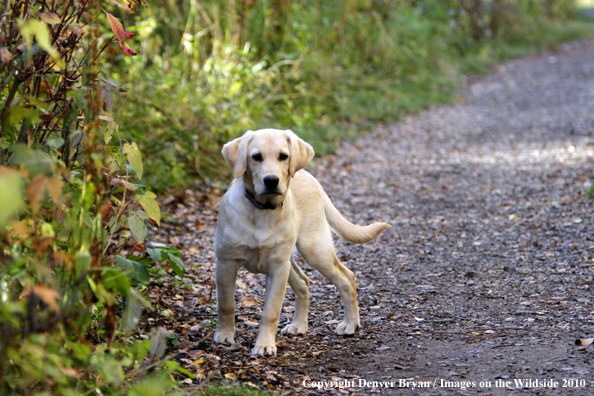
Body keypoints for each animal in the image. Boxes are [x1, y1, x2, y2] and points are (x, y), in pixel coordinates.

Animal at [213, 129, 388, 356]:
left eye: (283, 156)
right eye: (256, 157)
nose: (271, 180)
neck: (262, 211)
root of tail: (310, 177)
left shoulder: (278, 268)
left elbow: (271, 311)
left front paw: (264, 344)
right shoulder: (226, 262)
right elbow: (226, 304)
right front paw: (225, 335)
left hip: (313, 249)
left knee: (346, 277)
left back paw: (350, 324)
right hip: (291, 258)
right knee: (304, 281)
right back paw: (300, 325)